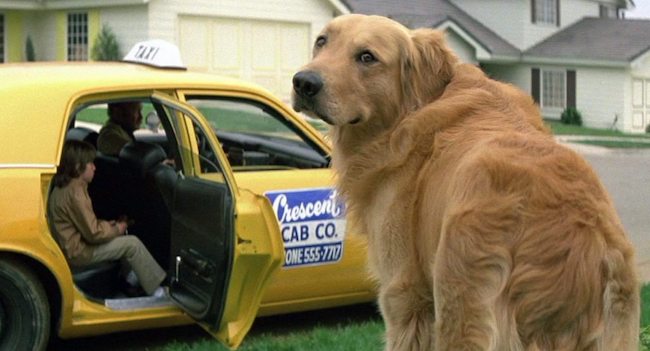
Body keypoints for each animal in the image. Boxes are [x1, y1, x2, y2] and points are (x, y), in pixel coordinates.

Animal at [292, 14, 636, 351]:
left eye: (367, 57)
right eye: (321, 41)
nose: (304, 82)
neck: (407, 115)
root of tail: (582, 236)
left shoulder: (404, 294)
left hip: (459, 301)